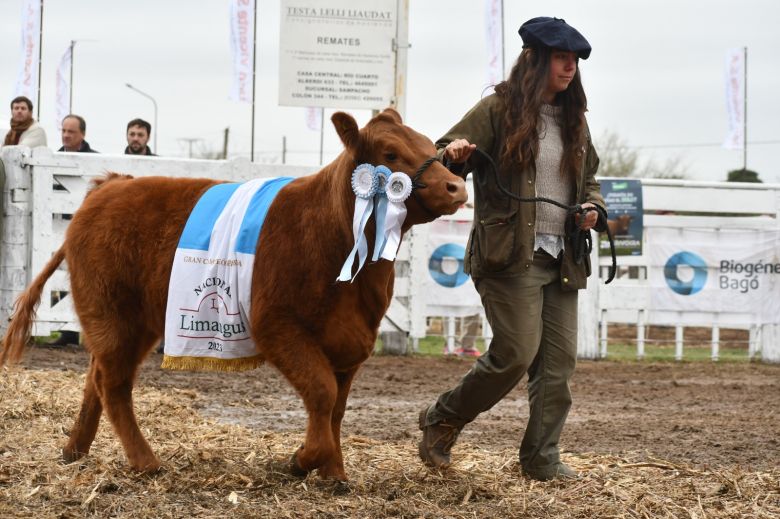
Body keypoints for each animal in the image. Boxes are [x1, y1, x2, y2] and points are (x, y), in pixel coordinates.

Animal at [0, 110, 466, 484]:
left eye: (430, 145)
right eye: (390, 153)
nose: (457, 188)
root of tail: (109, 186)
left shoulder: (352, 341)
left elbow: (336, 408)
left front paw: (335, 473)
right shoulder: (277, 325)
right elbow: (321, 394)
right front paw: (302, 460)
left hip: (130, 321)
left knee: (96, 377)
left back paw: (74, 450)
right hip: (113, 314)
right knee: (112, 383)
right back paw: (145, 462)